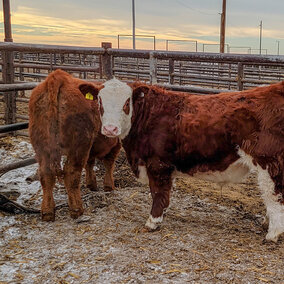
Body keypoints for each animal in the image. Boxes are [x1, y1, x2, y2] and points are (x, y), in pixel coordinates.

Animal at [29, 70, 120, 221]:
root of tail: (58, 77)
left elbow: (90, 163)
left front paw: (91, 184)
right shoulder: (115, 144)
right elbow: (108, 164)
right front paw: (108, 186)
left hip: (42, 147)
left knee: (46, 174)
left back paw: (48, 211)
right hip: (78, 145)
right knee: (71, 173)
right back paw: (77, 209)